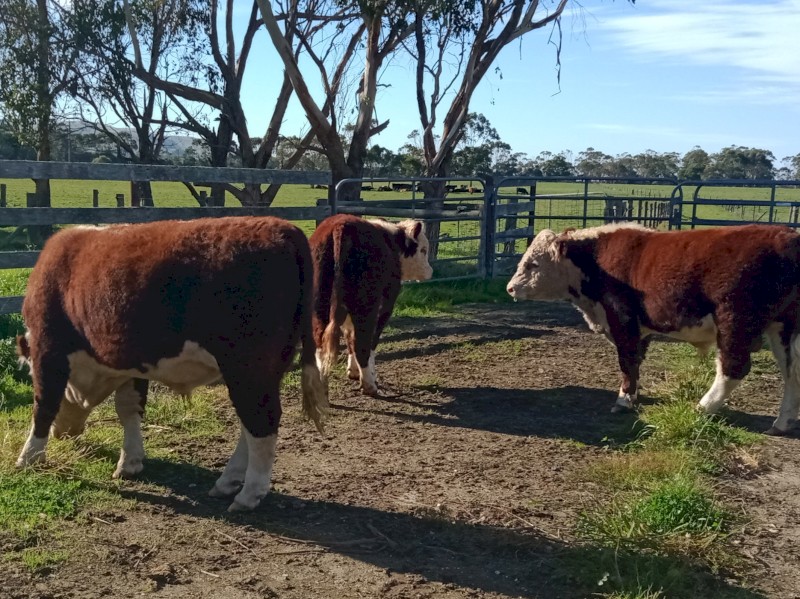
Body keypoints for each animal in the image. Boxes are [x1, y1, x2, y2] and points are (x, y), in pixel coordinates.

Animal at [15, 216, 328, 511]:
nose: (62, 434)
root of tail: (284, 228)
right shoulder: (131, 362)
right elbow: (129, 408)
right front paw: (130, 461)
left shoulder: (48, 351)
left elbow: (44, 404)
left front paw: (28, 458)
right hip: (266, 368)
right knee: (249, 424)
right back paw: (228, 482)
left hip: (248, 366)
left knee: (261, 421)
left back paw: (248, 494)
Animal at [310, 214, 433, 396]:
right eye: (423, 250)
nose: (430, 271)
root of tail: (340, 226)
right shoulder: (385, 307)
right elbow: (370, 342)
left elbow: (349, 337)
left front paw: (353, 371)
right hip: (367, 307)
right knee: (362, 342)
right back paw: (369, 385)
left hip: (320, 307)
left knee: (321, 345)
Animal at [507, 223, 800, 435]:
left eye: (533, 264)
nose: (510, 288)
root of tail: (788, 236)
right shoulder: (639, 329)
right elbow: (636, 362)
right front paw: (633, 395)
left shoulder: (622, 321)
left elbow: (627, 362)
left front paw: (624, 400)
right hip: (783, 327)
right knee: (791, 371)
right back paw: (782, 422)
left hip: (735, 322)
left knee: (734, 369)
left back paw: (702, 408)